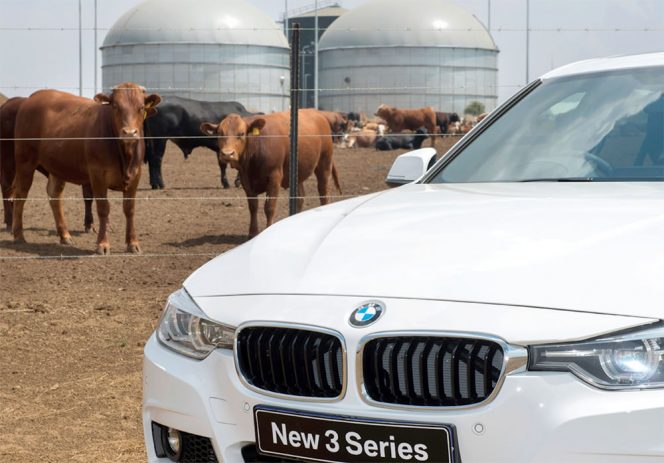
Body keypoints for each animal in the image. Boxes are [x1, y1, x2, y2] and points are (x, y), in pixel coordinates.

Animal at [12, 85, 160, 256]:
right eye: (115, 107)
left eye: (141, 107)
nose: (129, 133)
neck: (124, 156)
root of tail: (33, 97)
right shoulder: (98, 176)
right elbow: (103, 208)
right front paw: (103, 244)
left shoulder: (136, 175)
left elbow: (129, 209)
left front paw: (133, 243)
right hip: (25, 161)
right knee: (21, 195)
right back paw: (18, 235)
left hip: (58, 166)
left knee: (54, 196)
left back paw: (65, 236)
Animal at [200, 110, 340, 237]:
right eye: (220, 134)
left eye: (241, 133)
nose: (227, 154)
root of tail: (319, 114)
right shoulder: (246, 180)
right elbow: (253, 207)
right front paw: (252, 233)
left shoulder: (274, 178)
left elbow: (269, 207)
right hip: (298, 171)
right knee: (300, 197)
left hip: (324, 163)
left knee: (323, 193)